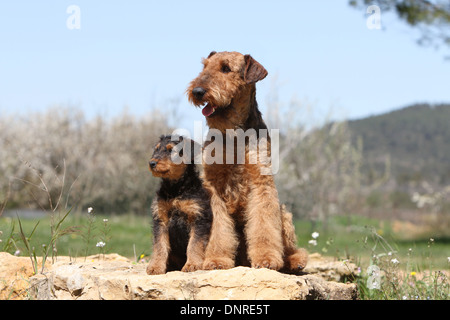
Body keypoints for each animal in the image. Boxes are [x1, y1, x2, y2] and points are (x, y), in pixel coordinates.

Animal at [146, 134, 213, 274]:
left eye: (172, 150)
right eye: (156, 149)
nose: (152, 163)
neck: (175, 189)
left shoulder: (198, 218)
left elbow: (194, 244)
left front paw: (192, 264)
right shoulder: (160, 219)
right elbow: (160, 245)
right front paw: (155, 267)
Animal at [187, 50, 310, 272]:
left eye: (226, 68)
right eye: (204, 67)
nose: (197, 91)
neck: (233, 134)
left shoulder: (261, 182)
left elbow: (264, 226)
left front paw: (267, 259)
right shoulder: (213, 186)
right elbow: (219, 229)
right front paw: (216, 260)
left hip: (284, 213)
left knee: (290, 248)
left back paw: (294, 261)